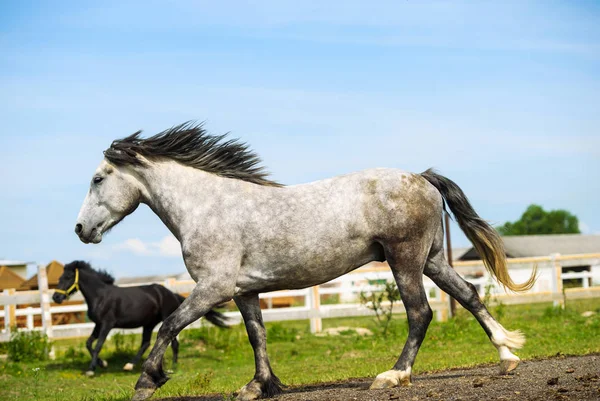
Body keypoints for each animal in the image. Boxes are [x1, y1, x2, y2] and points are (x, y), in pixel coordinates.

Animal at [54, 260, 229, 376]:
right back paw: (129, 365)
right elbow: (89, 343)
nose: (56, 297)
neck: (100, 296)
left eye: (68, 277)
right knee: (145, 343)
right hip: (149, 324)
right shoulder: (98, 324)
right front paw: (102, 364)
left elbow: (97, 345)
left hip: (164, 319)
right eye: (59, 278)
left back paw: (173, 366)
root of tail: (170, 293)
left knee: (173, 343)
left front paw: (91, 370)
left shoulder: (107, 324)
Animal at [72, 122, 536, 400]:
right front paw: (259, 385)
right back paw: (507, 354)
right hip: (432, 260)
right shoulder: (244, 292)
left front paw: (146, 381)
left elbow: (168, 326)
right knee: (469, 293)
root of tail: (421, 178)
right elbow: (257, 336)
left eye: (97, 179)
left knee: (420, 313)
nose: (80, 229)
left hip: (405, 260)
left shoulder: (213, 288)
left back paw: (393, 375)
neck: (207, 207)